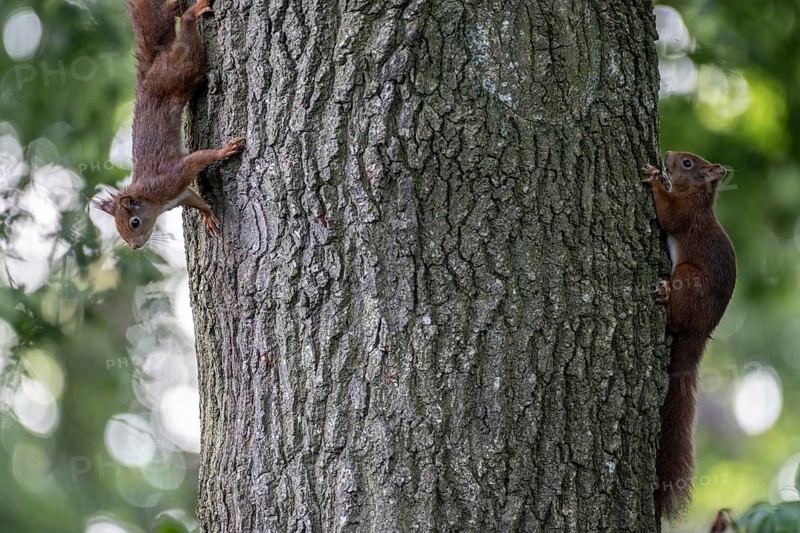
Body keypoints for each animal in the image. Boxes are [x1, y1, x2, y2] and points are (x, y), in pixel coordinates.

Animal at [95, 0, 245, 249]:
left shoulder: (173, 176)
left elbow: (201, 158)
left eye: (134, 222)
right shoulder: (179, 195)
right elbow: (195, 199)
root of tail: (147, 73)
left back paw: (193, 12)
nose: (134, 246)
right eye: (118, 229)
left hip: (180, 70)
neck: (152, 199)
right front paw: (207, 215)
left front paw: (226, 150)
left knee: (186, 34)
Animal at [641, 151, 736, 520]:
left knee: (675, 318)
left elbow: (668, 215)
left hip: (687, 276)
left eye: (687, 163)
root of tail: (702, 331)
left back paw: (666, 294)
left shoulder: (685, 214)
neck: (698, 197)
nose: (667, 156)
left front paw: (655, 179)